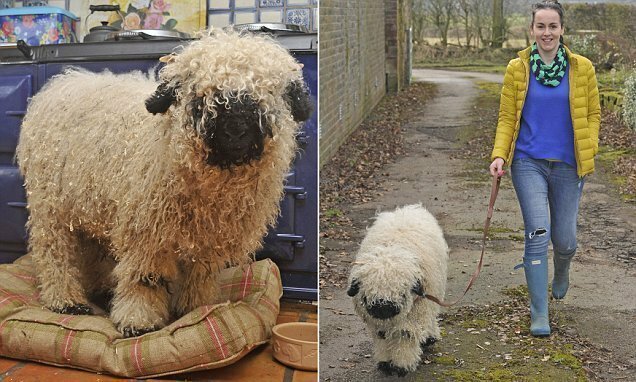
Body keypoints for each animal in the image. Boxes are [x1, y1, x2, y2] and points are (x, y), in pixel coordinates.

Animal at [348, 204, 448, 378]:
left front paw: (402, 365)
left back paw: (430, 337)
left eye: (402, 293)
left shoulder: (417, 309)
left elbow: (405, 334)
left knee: (431, 316)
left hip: (433, 293)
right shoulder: (377, 322)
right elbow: (382, 337)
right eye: (368, 295)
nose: (383, 308)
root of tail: (409, 208)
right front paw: (385, 362)